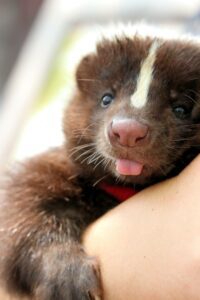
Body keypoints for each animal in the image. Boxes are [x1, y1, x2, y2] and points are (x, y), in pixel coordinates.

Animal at [0, 25, 200, 300]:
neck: (126, 186)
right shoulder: (56, 172)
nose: (127, 131)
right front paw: (67, 277)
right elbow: (21, 209)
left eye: (181, 108)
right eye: (106, 98)